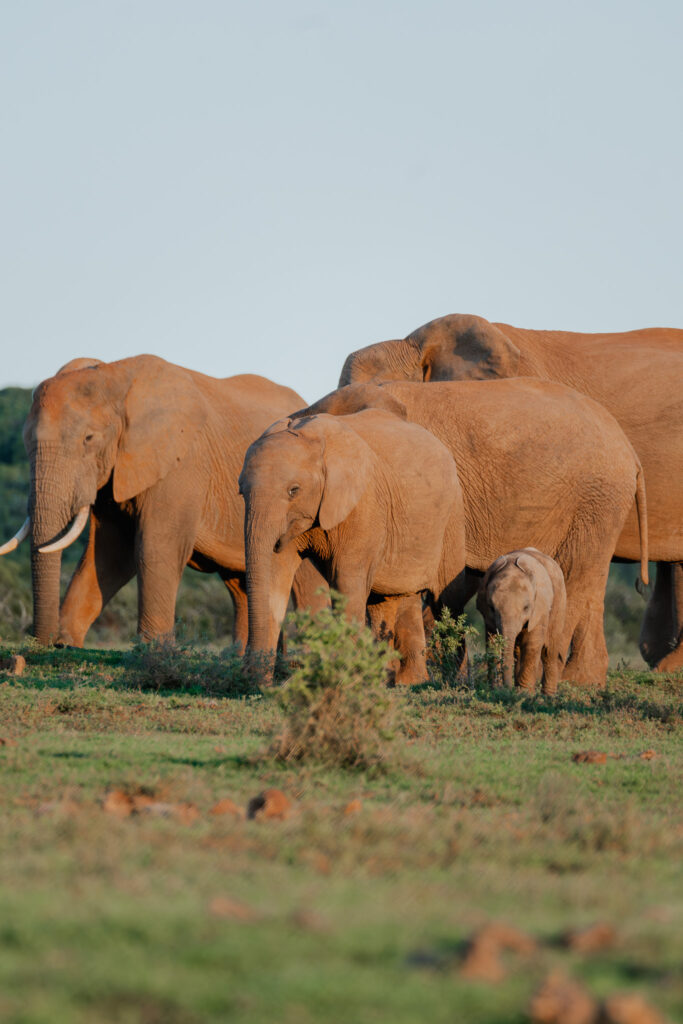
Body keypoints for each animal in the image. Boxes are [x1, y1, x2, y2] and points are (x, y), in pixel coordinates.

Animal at [0, 356, 325, 647]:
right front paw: (65, 645)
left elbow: (155, 548)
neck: (113, 377)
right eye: (24, 441)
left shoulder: (180, 464)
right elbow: (109, 553)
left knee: (307, 585)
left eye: (88, 439)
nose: (41, 641)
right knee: (241, 585)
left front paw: (153, 650)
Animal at [237, 403, 466, 684]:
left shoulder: (364, 506)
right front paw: (259, 681)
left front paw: (342, 680)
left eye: (294, 490)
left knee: (449, 600)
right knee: (394, 598)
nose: (247, 675)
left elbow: (345, 583)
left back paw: (455, 680)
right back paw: (404, 682)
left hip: (452, 518)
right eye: (241, 491)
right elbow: (275, 576)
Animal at [475, 544, 565, 696]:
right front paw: (495, 690)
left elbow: (531, 644)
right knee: (518, 650)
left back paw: (548, 696)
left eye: (526, 608)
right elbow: (492, 643)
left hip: (560, 603)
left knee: (549, 650)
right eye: (492, 608)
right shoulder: (488, 617)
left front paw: (524, 694)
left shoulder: (539, 609)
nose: (506, 689)